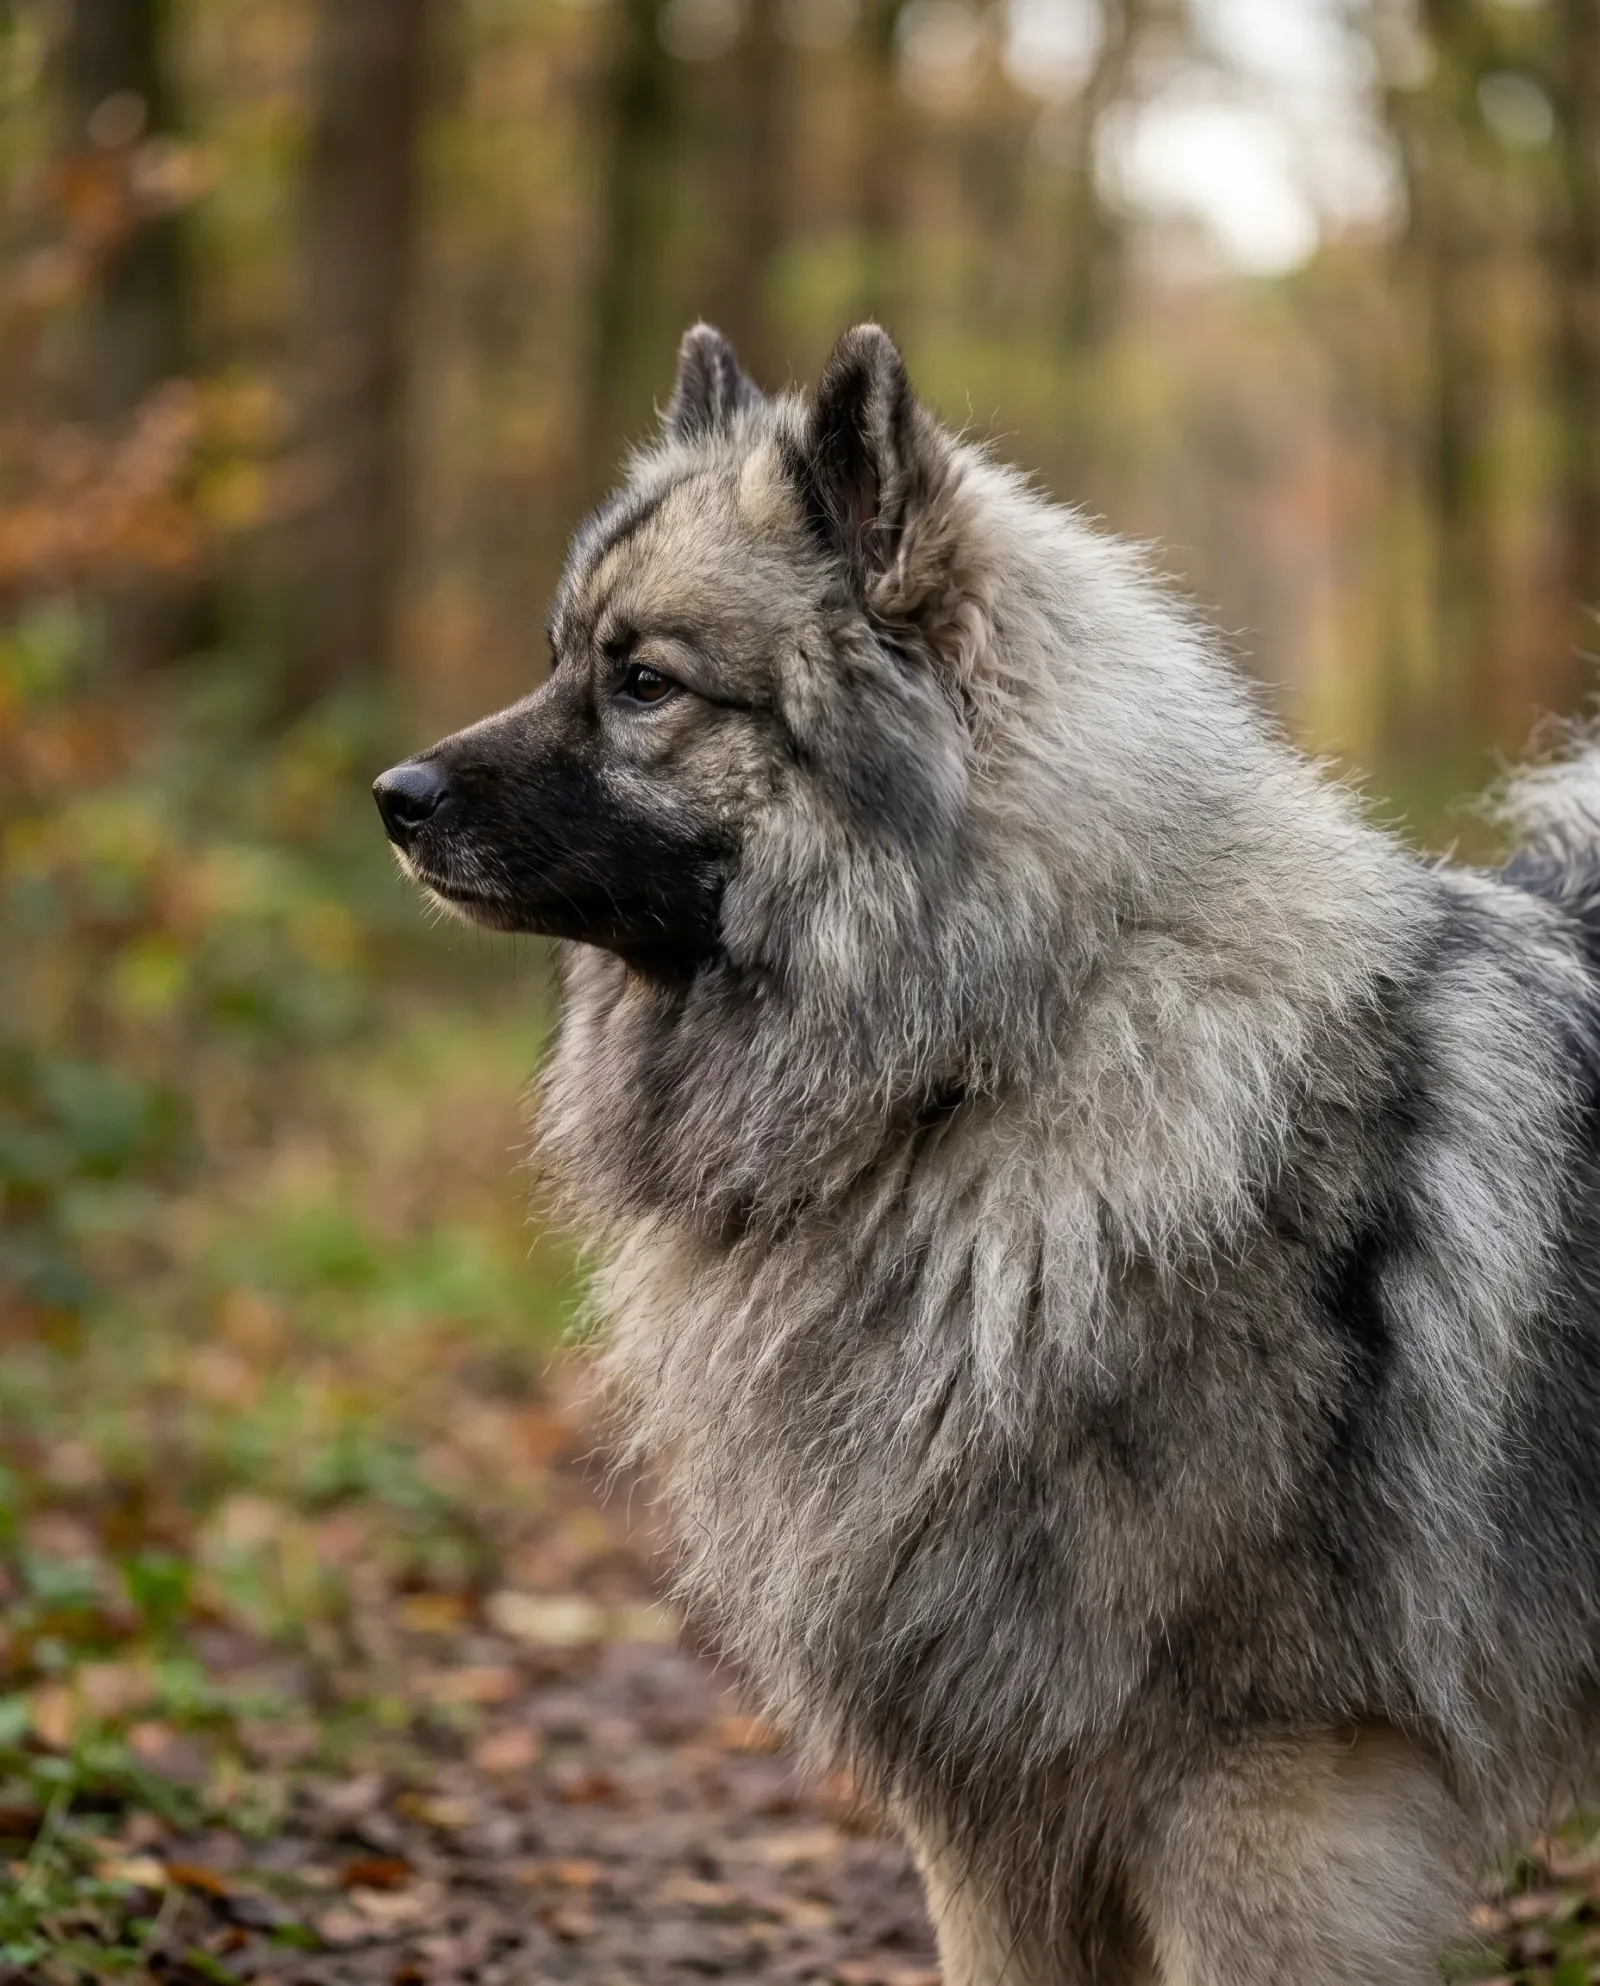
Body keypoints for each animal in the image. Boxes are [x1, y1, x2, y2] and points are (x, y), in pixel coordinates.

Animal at [375, 322, 1600, 1983]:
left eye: (642, 681)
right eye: (560, 655)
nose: (394, 798)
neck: (988, 1066)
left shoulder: (1272, 1786)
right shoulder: (995, 1806)